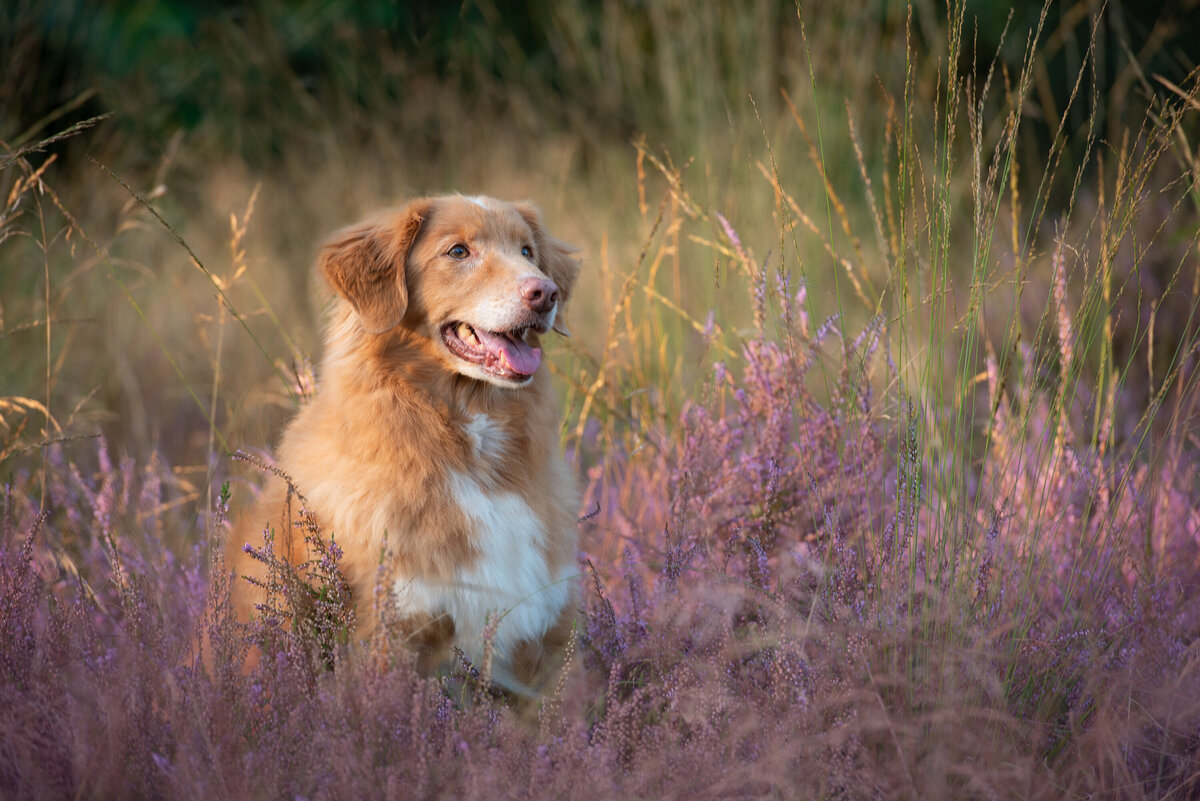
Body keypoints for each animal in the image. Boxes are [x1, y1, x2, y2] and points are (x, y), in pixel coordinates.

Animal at [222, 195, 585, 695]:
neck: (471, 448)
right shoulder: (391, 633)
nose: (545, 293)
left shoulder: (543, 639)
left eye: (528, 251)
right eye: (458, 252)